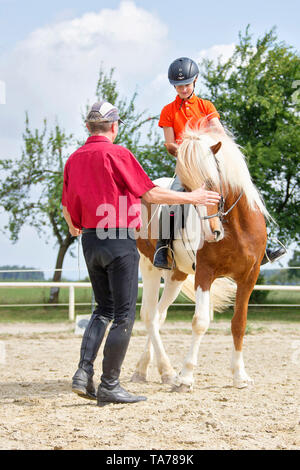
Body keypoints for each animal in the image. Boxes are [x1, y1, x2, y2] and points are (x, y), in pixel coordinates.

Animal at [132, 123, 270, 392]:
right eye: (186, 190)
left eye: (213, 182)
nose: (211, 232)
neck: (235, 228)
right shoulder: (205, 273)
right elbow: (200, 322)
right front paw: (186, 377)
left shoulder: (249, 277)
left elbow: (239, 323)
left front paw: (240, 376)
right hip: (149, 267)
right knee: (149, 316)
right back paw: (167, 371)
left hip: (176, 274)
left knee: (159, 315)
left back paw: (147, 369)